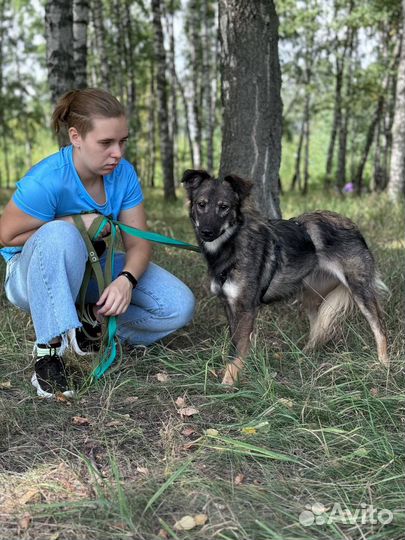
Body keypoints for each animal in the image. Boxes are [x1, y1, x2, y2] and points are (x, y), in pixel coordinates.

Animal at [181, 169, 386, 384]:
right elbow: (235, 343)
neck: (231, 247)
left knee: (379, 328)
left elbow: (237, 349)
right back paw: (305, 356)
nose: (206, 232)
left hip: (360, 290)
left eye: (224, 207)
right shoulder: (228, 304)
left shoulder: (246, 308)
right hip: (312, 296)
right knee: (319, 327)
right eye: (201, 204)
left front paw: (228, 382)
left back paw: (384, 365)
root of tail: (352, 225)